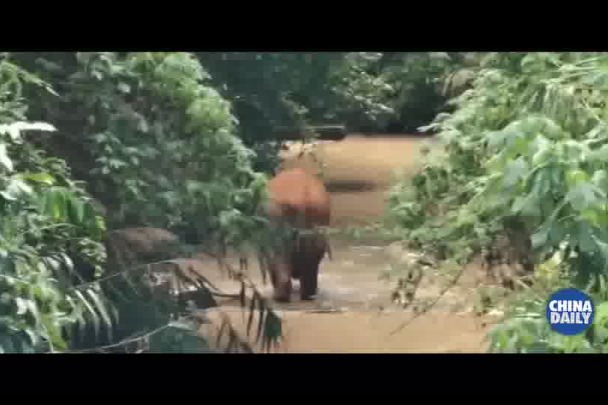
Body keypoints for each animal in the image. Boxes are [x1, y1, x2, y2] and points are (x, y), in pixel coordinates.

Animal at [258, 166, 330, 302]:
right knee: (311, 265)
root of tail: (302, 196)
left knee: (280, 263)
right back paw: (308, 295)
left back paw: (280, 297)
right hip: (316, 230)